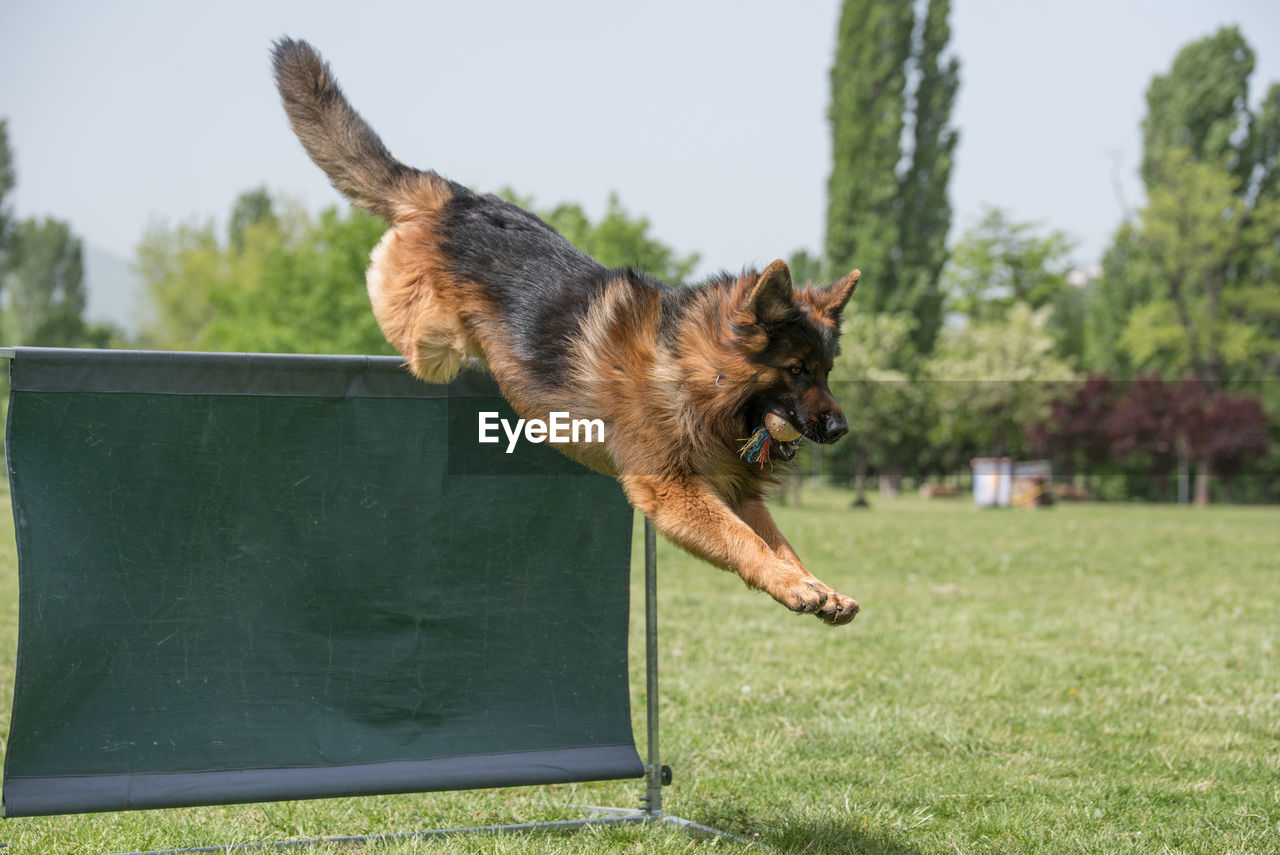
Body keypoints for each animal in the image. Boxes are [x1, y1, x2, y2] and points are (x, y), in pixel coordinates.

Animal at [275, 39, 865, 624]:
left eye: (827, 372)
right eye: (796, 370)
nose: (841, 430)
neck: (689, 369)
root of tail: (457, 199)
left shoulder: (736, 489)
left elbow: (777, 542)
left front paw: (815, 584)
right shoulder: (671, 491)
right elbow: (746, 541)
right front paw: (795, 586)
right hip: (432, 341)